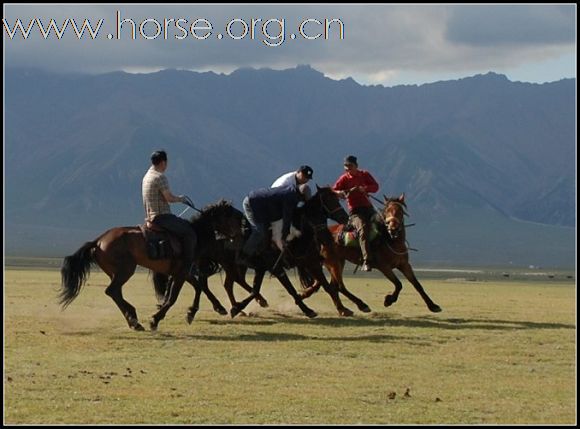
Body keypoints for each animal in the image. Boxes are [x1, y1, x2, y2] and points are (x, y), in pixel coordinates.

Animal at [60, 199, 245, 330]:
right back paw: (134, 320)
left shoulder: (183, 272)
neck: (196, 234)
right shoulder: (182, 272)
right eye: (234, 216)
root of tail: (98, 241)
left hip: (116, 272)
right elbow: (173, 297)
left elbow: (198, 287)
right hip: (125, 270)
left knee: (116, 292)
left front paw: (196, 312)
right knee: (112, 291)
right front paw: (156, 319)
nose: (244, 232)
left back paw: (133, 317)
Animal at [302, 193, 442, 310]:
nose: (393, 228)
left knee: (332, 286)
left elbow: (417, 285)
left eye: (401, 211)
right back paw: (362, 305)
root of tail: (318, 234)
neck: (390, 240)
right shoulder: (384, 267)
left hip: (338, 262)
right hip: (333, 263)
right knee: (339, 286)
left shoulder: (404, 265)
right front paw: (388, 300)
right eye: (386, 211)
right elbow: (398, 284)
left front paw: (433, 306)